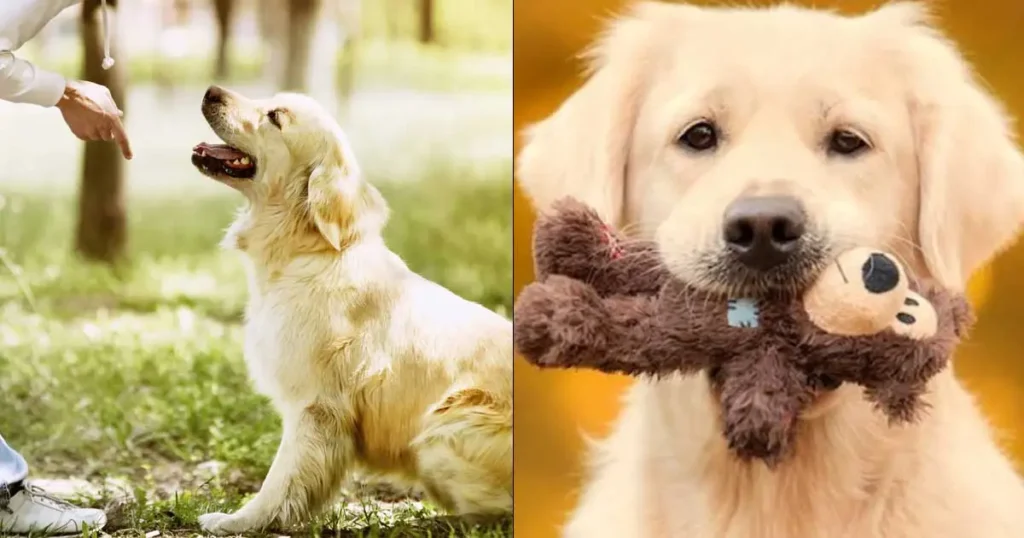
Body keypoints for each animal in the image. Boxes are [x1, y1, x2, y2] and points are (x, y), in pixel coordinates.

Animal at [188, 87, 512, 532]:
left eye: (275, 116)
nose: (210, 92)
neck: (309, 251)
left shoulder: (315, 407)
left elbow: (280, 479)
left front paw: (239, 521)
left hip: (443, 429)